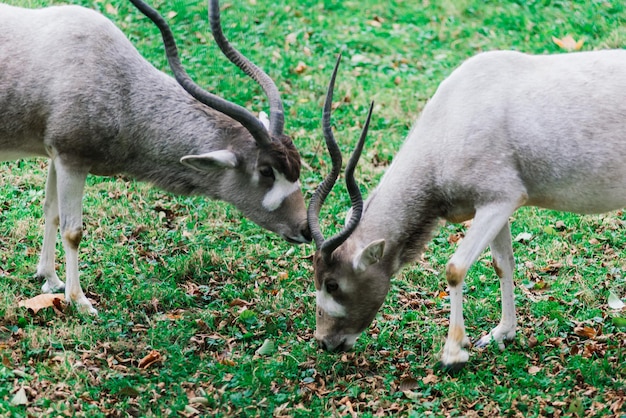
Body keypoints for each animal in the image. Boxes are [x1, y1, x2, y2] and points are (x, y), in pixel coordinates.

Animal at [0, 0, 312, 314]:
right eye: (267, 171)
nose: (306, 229)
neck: (123, 90)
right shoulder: (71, 159)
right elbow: (72, 231)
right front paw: (79, 301)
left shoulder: (56, 155)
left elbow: (51, 212)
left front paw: (49, 279)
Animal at [308, 49, 624, 372]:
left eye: (332, 284)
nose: (324, 341)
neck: (451, 118)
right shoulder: (496, 206)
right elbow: (502, 264)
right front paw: (502, 333)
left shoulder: (499, 201)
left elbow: (455, 269)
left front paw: (453, 353)